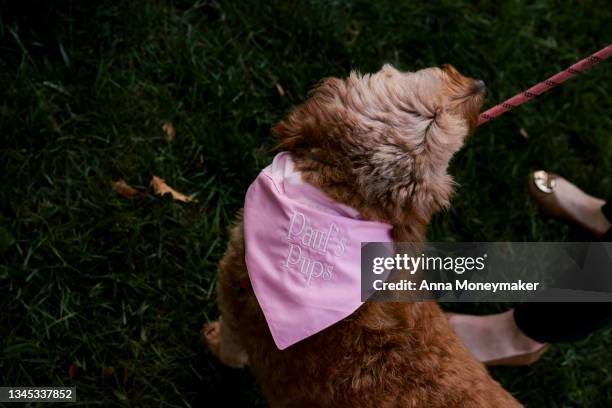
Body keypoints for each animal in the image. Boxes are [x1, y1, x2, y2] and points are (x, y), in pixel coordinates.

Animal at [203, 63, 520, 408]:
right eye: (440, 87)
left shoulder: (234, 299)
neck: (344, 202)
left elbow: (231, 349)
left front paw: (213, 342)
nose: (481, 84)